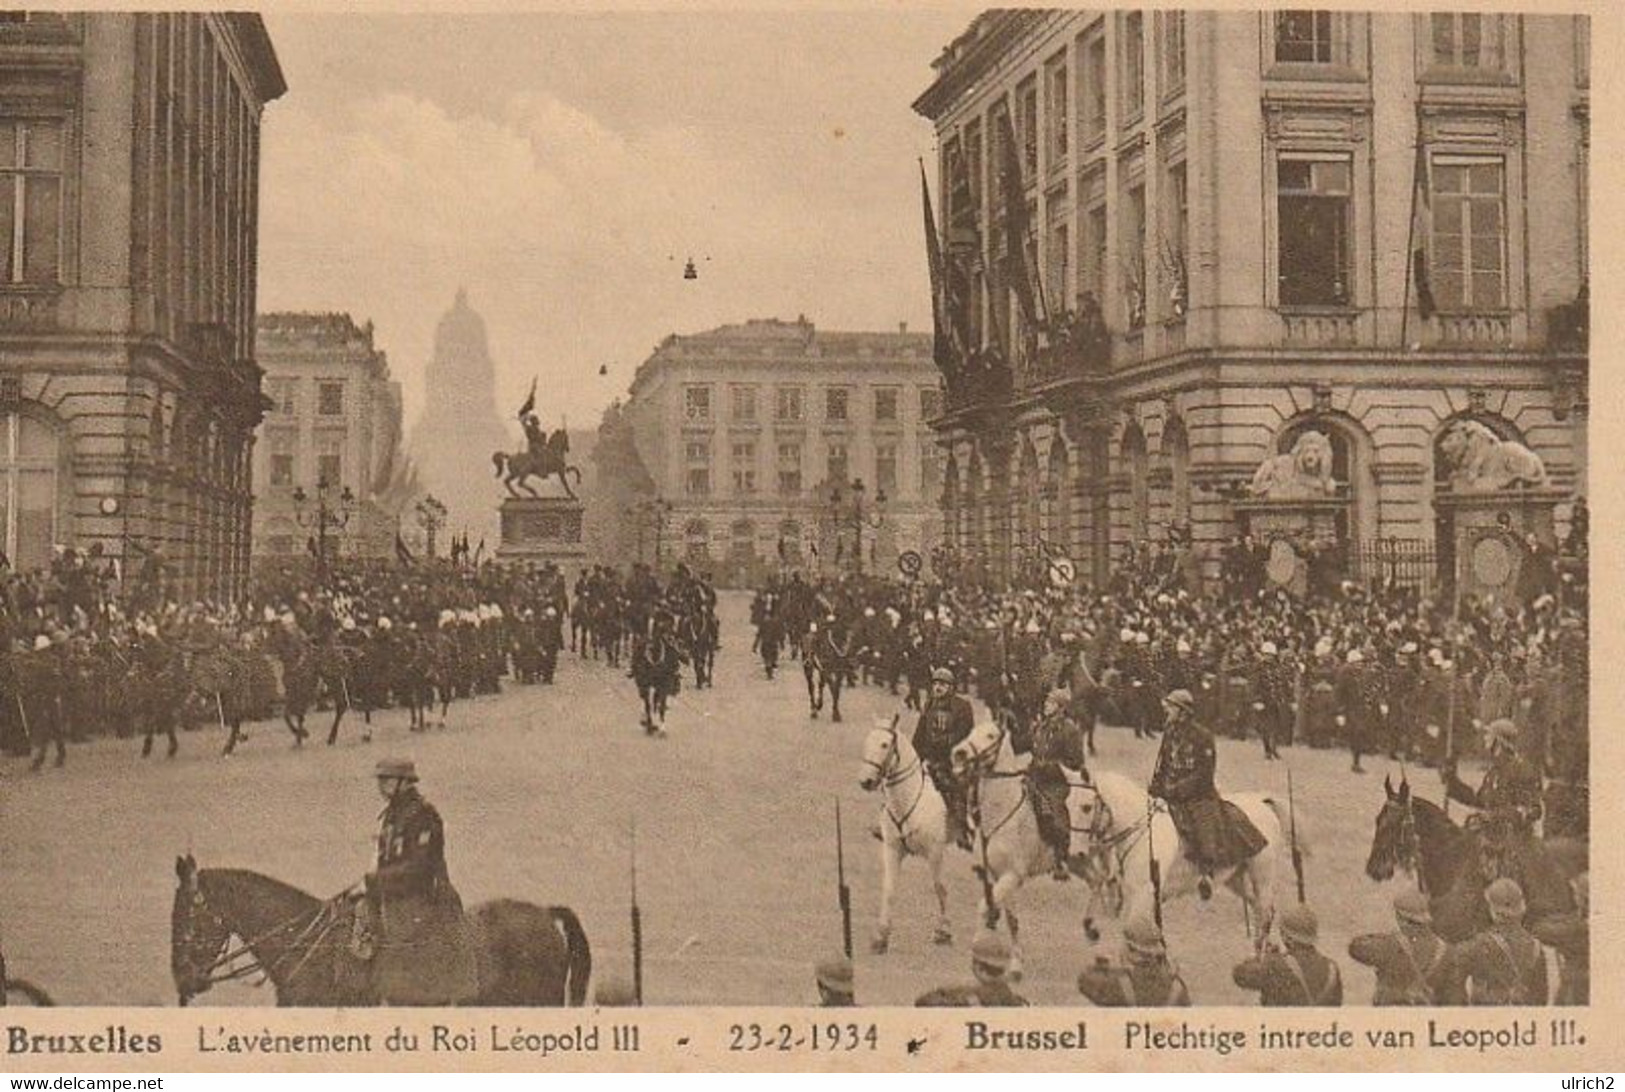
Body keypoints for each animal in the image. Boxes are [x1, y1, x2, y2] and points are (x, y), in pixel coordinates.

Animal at [858, 711, 955, 949]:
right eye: (867, 741)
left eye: (885, 744)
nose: (866, 781)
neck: (909, 798)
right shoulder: (892, 849)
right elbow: (889, 890)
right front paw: (881, 936)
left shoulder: (935, 852)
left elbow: (939, 888)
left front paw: (943, 932)